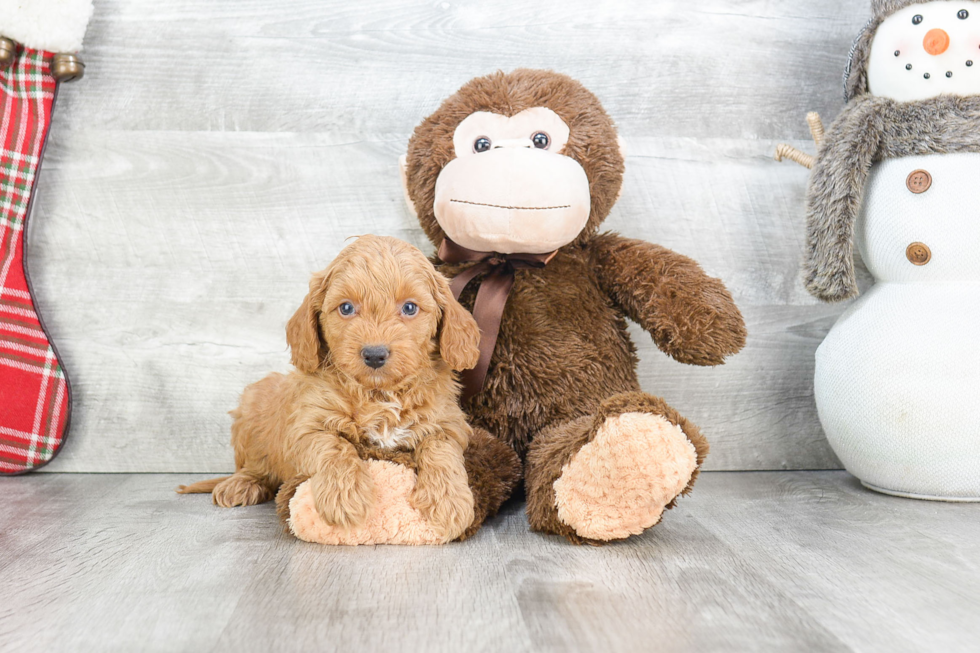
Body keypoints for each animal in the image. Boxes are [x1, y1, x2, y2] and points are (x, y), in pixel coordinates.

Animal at [181, 234, 482, 540]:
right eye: (346, 308)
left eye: (410, 307)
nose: (374, 354)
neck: (378, 394)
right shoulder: (306, 426)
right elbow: (334, 446)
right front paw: (344, 496)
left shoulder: (448, 422)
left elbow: (441, 449)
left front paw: (448, 500)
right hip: (253, 404)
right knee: (254, 465)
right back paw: (241, 484)